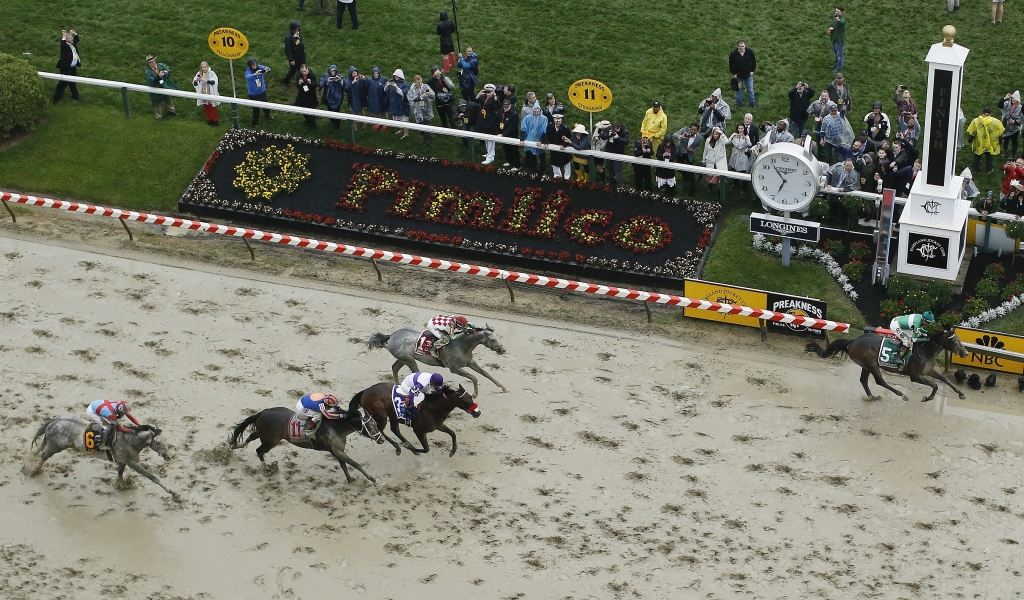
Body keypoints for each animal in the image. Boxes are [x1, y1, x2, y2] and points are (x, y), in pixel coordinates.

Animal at [24, 415, 179, 499]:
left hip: (50, 442)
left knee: (39, 451)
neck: (131, 440)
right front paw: (174, 493)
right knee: (43, 456)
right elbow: (153, 477)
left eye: (166, 440)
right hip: (55, 446)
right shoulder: (133, 463)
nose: (168, 457)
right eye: (157, 442)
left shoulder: (123, 461)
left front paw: (121, 485)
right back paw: (33, 471)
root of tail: (55, 420)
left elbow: (120, 473)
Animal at [226, 403, 382, 483]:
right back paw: (267, 469)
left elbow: (344, 465)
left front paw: (350, 479)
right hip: (271, 440)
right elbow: (355, 463)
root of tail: (262, 413)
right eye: (370, 426)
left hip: (264, 434)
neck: (336, 427)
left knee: (251, 437)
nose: (381, 439)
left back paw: (235, 446)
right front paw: (372, 478)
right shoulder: (337, 451)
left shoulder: (336, 451)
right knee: (259, 451)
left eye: (376, 424)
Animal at [348, 380, 479, 454]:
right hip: (381, 416)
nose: (478, 413)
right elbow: (426, 449)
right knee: (380, 430)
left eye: (471, 398)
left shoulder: (437, 425)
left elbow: (452, 433)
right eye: (466, 400)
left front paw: (453, 450)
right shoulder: (419, 431)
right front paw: (410, 448)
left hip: (393, 416)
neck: (432, 408)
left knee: (394, 429)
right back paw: (399, 447)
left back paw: (405, 443)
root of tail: (365, 391)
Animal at [368, 325, 512, 395]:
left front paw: (504, 388)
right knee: (414, 373)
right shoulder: (454, 368)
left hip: (403, 359)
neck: (461, 345)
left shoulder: (470, 362)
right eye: (493, 339)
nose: (503, 350)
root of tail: (392, 335)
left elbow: (486, 374)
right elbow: (474, 378)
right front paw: (475, 394)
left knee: (395, 368)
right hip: (409, 360)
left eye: (498, 337)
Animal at [806, 327, 966, 401]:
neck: (925, 351)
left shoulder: (929, 371)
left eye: (958, 339)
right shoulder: (915, 376)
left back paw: (871, 396)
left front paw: (961, 394)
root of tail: (852, 341)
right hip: (871, 364)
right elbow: (935, 385)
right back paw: (902, 395)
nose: (965, 353)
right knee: (880, 381)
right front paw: (928, 398)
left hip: (865, 365)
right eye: (954, 340)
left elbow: (945, 380)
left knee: (863, 380)